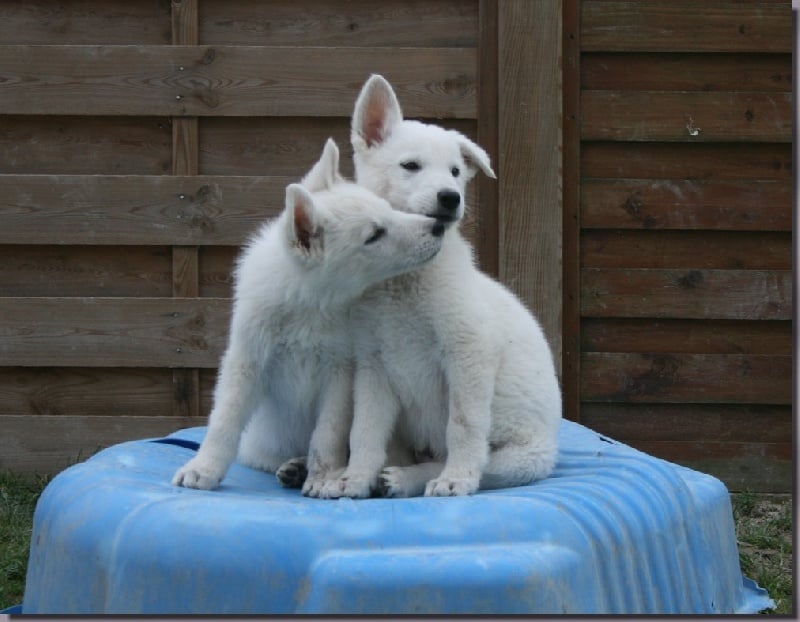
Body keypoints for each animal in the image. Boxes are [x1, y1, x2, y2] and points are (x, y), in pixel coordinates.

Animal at [173, 138, 446, 498]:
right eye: (374, 234)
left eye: (387, 209)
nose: (438, 227)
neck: (310, 304)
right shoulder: (247, 361)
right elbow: (223, 421)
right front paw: (203, 468)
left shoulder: (340, 375)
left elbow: (326, 435)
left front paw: (322, 477)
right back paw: (293, 467)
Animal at [318, 74, 564, 502]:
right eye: (410, 165)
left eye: (454, 172)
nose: (451, 198)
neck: (404, 278)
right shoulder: (374, 365)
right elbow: (364, 430)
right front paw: (354, 478)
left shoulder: (468, 352)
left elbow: (463, 426)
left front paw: (456, 478)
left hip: (522, 457)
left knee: (482, 461)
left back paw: (411, 477)